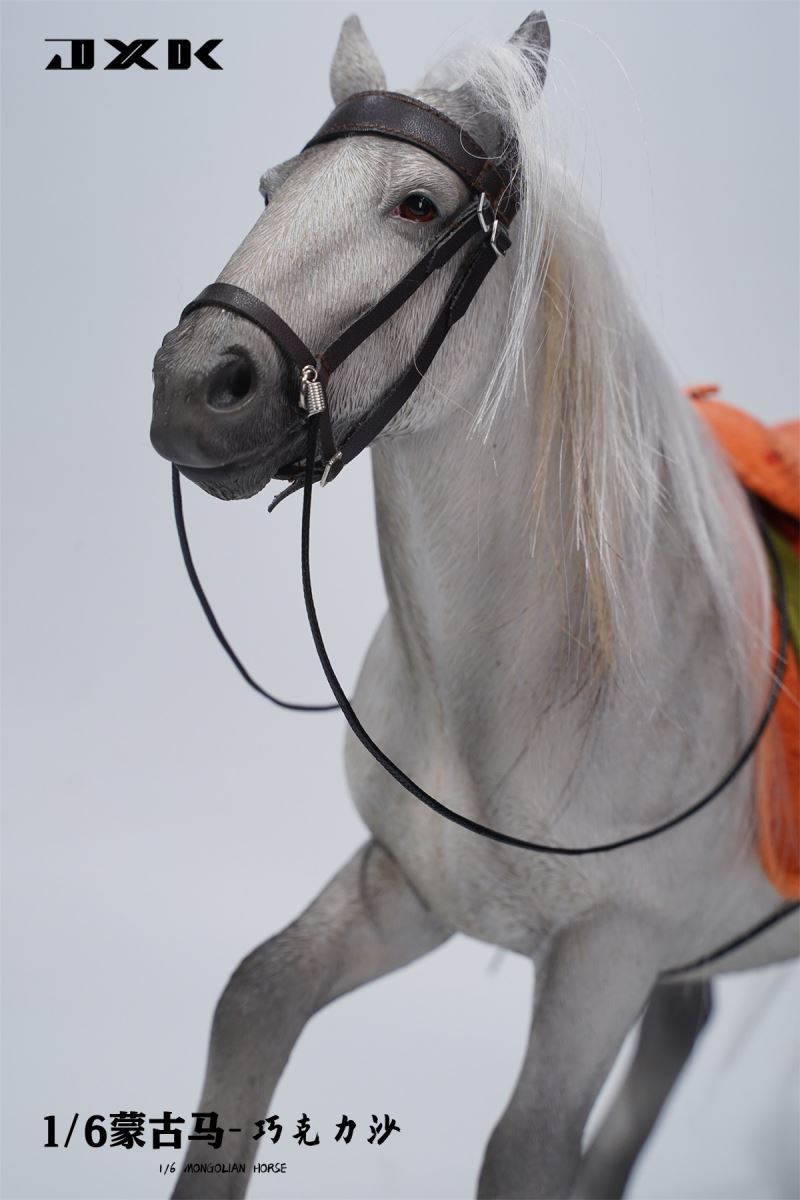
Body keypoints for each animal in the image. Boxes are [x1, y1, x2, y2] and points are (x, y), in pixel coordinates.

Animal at [150, 11, 799, 1198]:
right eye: (269, 188)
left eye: (417, 205)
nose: (192, 386)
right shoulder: (408, 888)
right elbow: (256, 994)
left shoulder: (607, 955)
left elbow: (526, 1151)